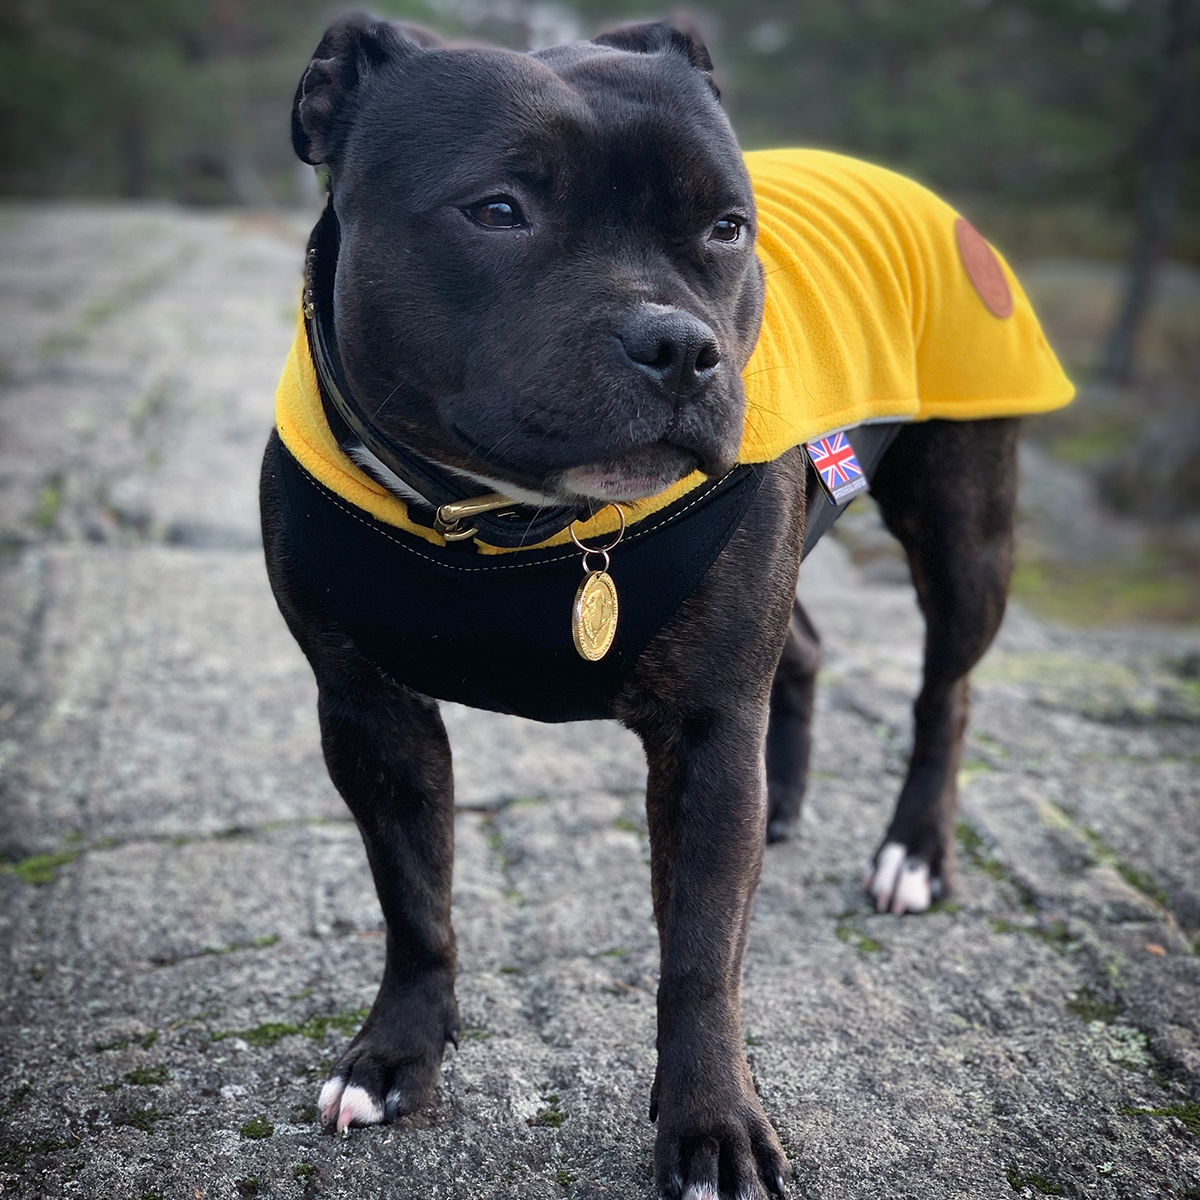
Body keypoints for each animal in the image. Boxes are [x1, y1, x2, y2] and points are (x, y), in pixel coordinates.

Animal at [258, 14, 1075, 1195]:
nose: (681, 346)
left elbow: (698, 954)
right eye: (497, 210)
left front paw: (711, 1126)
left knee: (947, 689)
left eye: (727, 229)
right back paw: (785, 804)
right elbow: (414, 901)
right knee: (804, 655)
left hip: (966, 530)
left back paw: (915, 852)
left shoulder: (705, 731)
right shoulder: (368, 710)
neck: (510, 525)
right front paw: (396, 1057)